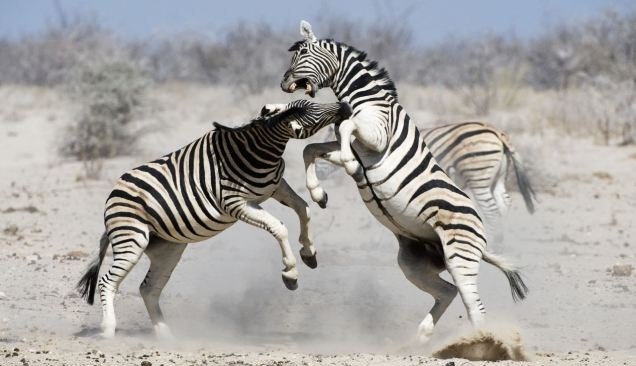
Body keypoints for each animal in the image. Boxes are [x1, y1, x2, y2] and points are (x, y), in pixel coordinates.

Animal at [77, 98, 352, 338]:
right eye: (312, 110)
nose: (346, 106)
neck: (262, 152)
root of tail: (112, 195)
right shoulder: (237, 205)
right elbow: (279, 228)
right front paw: (291, 274)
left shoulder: (276, 187)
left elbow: (304, 209)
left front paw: (309, 252)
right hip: (132, 239)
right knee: (107, 282)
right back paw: (109, 332)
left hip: (168, 248)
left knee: (149, 288)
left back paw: (166, 336)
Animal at [282, 20, 528, 344]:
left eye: (303, 53)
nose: (283, 83)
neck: (364, 99)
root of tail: (480, 228)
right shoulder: (356, 148)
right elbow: (311, 149)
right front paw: (318, 194)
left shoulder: (375, 137)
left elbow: (346, 128)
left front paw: (346, 168)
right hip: (414, 262)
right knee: (448, 292)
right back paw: (423, 335)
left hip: (459, 254)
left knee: (474, 305)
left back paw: (480, 345)